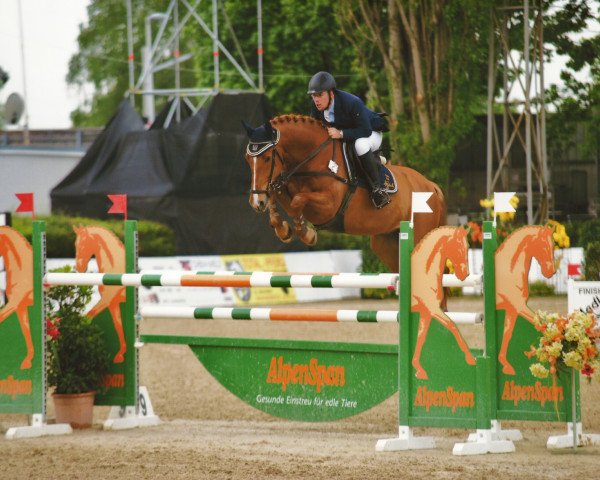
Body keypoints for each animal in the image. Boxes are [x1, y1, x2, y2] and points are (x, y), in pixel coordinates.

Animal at [243, 113, 446, 270]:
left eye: (267, 158)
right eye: (247, 159)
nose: (256, 203)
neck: (313, 159)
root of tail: (431, 186)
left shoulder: (328, 207)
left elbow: (297, 201)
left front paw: (307, 233)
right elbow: (278, 196)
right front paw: (282, 229)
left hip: (419, 236)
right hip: (386, 242)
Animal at [408, 227, 474, 380]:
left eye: (468, 247)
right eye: (459, 248)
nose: (465, 274)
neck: (424, 273)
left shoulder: (426, 312)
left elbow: (421, 337)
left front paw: (419, 369)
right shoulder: (433, 309)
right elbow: (452, 325)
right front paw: (470, 358)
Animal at [494, 225, 556, 376]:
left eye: (553, 245)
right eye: (543, 246)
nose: (551, 272)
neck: (509, 271)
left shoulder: (512, 309)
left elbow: (507, 334)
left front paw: (506, 365)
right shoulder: (519, 307)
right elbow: (541, 325)